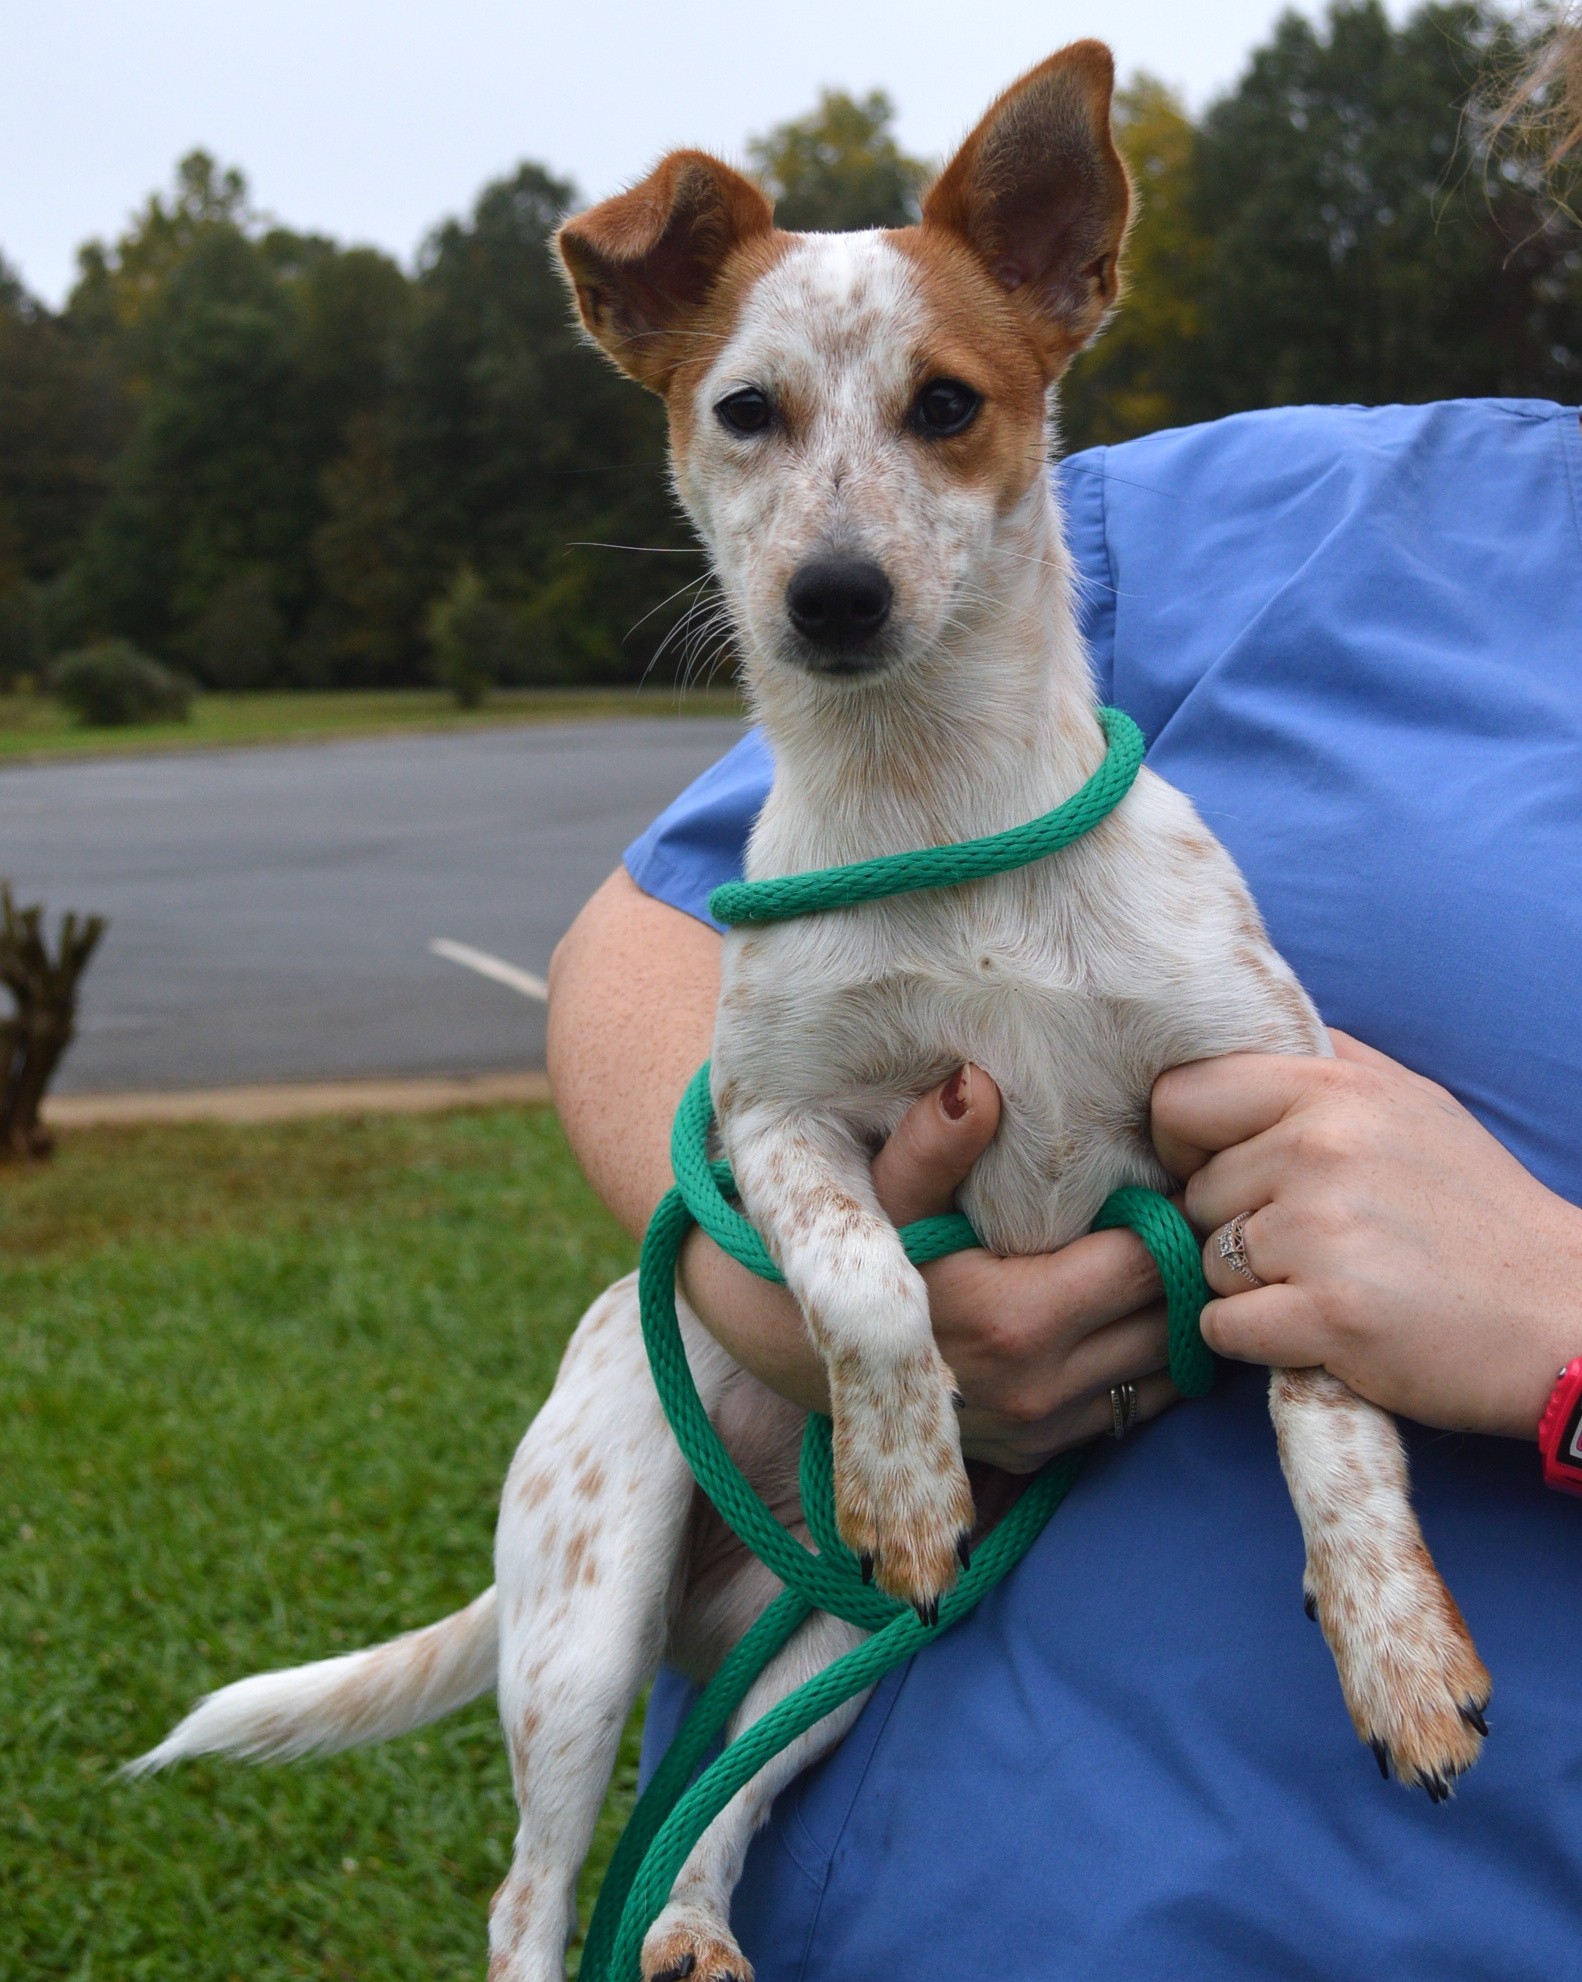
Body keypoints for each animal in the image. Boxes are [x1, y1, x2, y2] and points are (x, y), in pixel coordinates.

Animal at [132, 46, 1490, 1982]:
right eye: (745, 410)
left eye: (948, 405)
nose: (830, 596)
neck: (935, 815)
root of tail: (731, 1582)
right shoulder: (770, 1117)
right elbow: (863, 1273)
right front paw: (909, 1465)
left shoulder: (1259, 1114)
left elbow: (1333, 1415)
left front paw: (1391, 1647)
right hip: (592, 1598)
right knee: (536, 1884)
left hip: (840, 1645)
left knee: (724, 1797)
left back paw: (699, 1925)